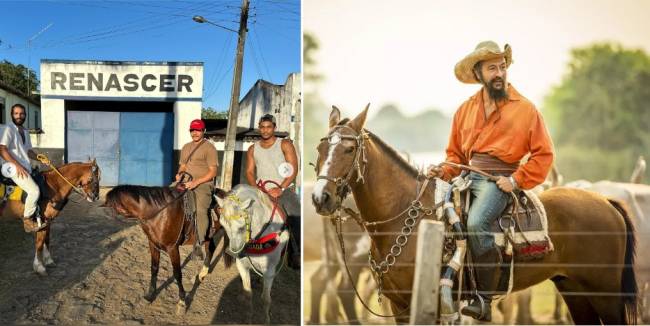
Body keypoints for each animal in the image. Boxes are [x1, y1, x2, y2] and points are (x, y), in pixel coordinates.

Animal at [102, 183, 232, 314]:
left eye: (114, 207)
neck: (159, 214)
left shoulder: (172, 248)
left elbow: (177, 273)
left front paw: (182, 302)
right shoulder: (153, 244)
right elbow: (154, 268)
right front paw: (150, 295)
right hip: (208, 235)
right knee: (210, 249)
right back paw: (201, 274)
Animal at [215, 183, 288, 324]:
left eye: (241, 227)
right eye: (223, 226)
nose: (233, 253)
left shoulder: (269, 271)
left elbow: (266, 299)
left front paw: (266, 320)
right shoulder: (242, 265)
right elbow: (248, 293)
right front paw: (248, 318)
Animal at [312, 105, 636, 324]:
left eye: (349, 149)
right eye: (320, 149)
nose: (320, 197)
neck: (406, 219)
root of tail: (607, 202)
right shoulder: (399, 305)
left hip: (605, 292)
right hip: (574, 289)